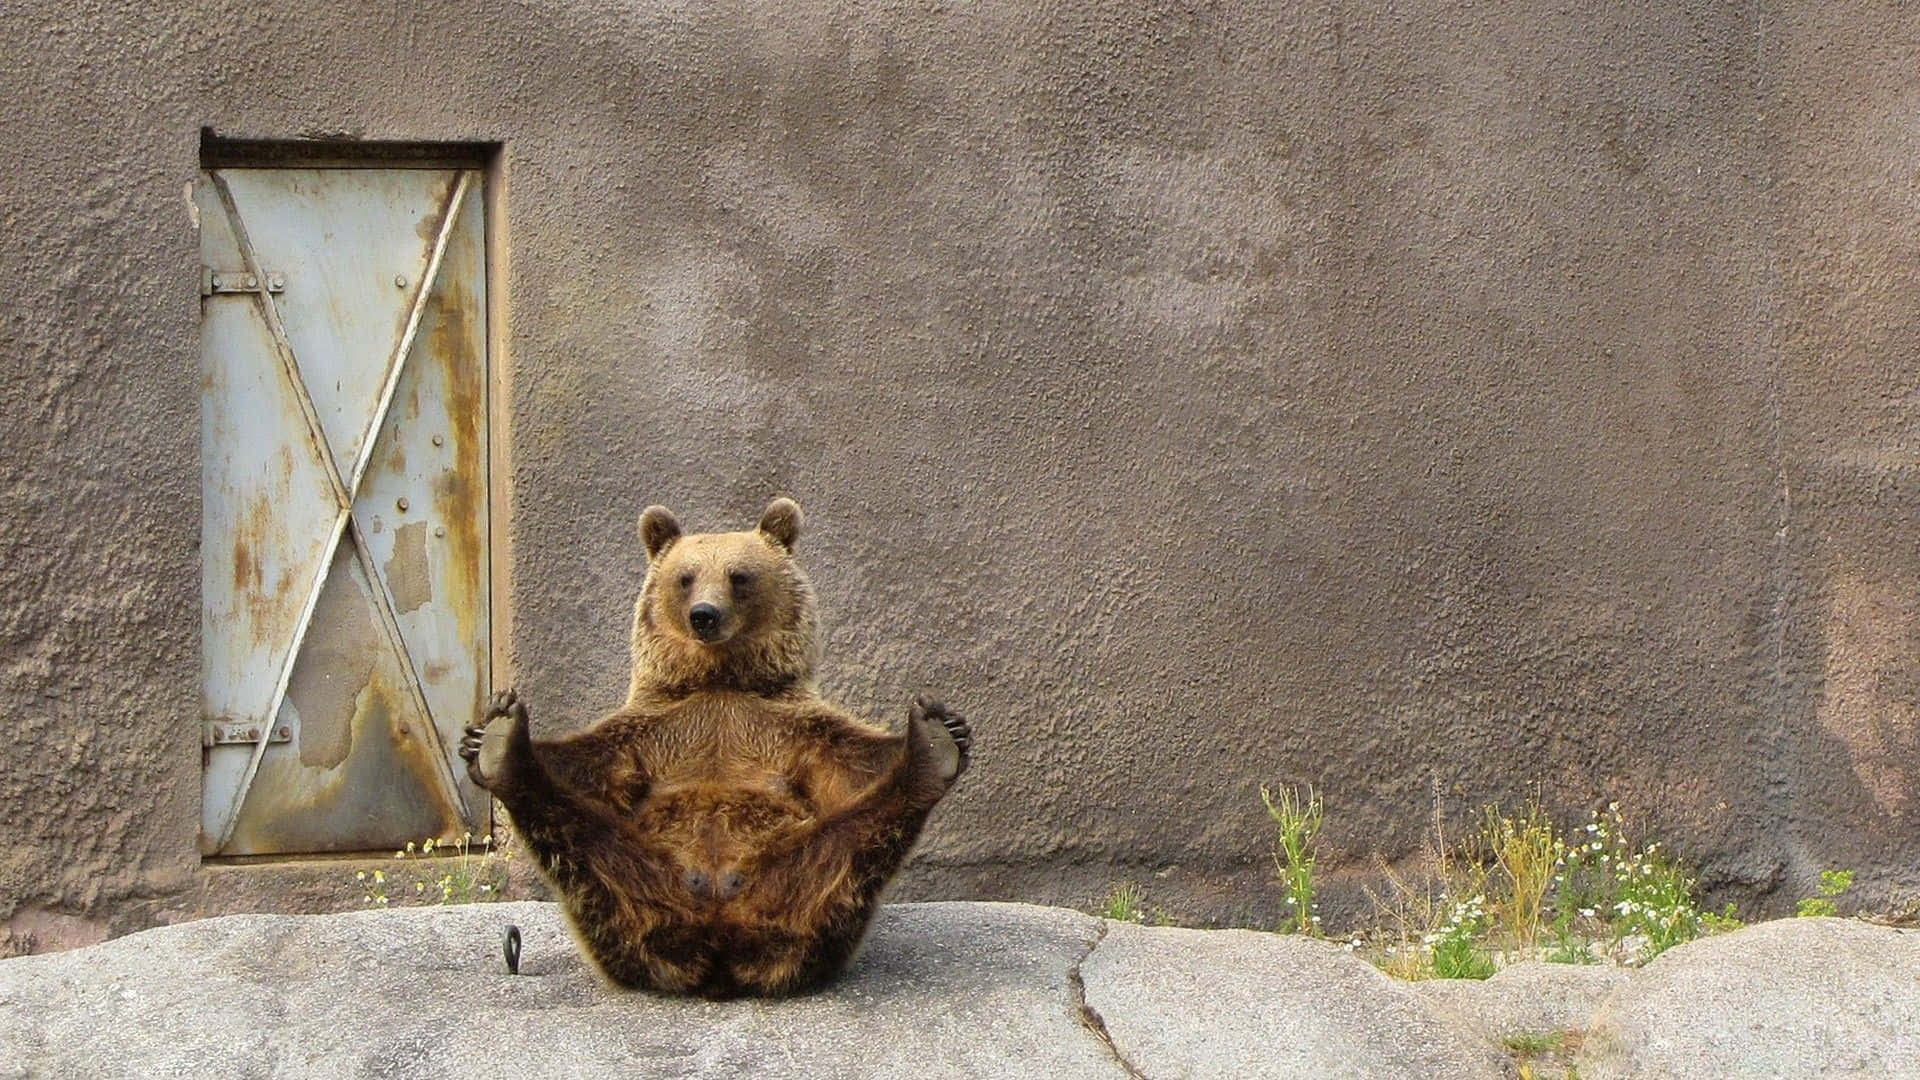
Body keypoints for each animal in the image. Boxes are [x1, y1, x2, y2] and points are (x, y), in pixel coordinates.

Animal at [459, 497, 970, 998]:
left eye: (738, 576)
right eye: (685, 577)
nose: (705, 614)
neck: (719, 679)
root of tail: (720, 945)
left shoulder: (786, 726)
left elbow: (852, 762)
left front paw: (948, 725)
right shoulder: (655, 729)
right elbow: (587, 764)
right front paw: (480, 735)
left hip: (798, 881)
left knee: (851, 846)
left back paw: (931, 751)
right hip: (631, 890)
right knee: (582, 841)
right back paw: (504, 749)